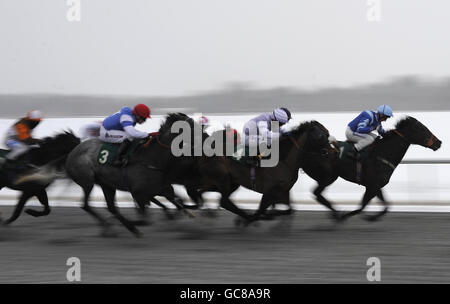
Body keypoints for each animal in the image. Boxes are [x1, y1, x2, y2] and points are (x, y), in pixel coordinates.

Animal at [300, 116, 442, 221]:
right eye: (422, 129)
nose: (439, 142)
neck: (382, 153)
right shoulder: (372, 186)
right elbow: (362, 207)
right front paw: (349, 215)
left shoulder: (376, 186)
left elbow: (386, 207)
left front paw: (371, 217)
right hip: (329, 176)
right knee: (317, 193)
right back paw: (336, 214)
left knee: (317, 194)